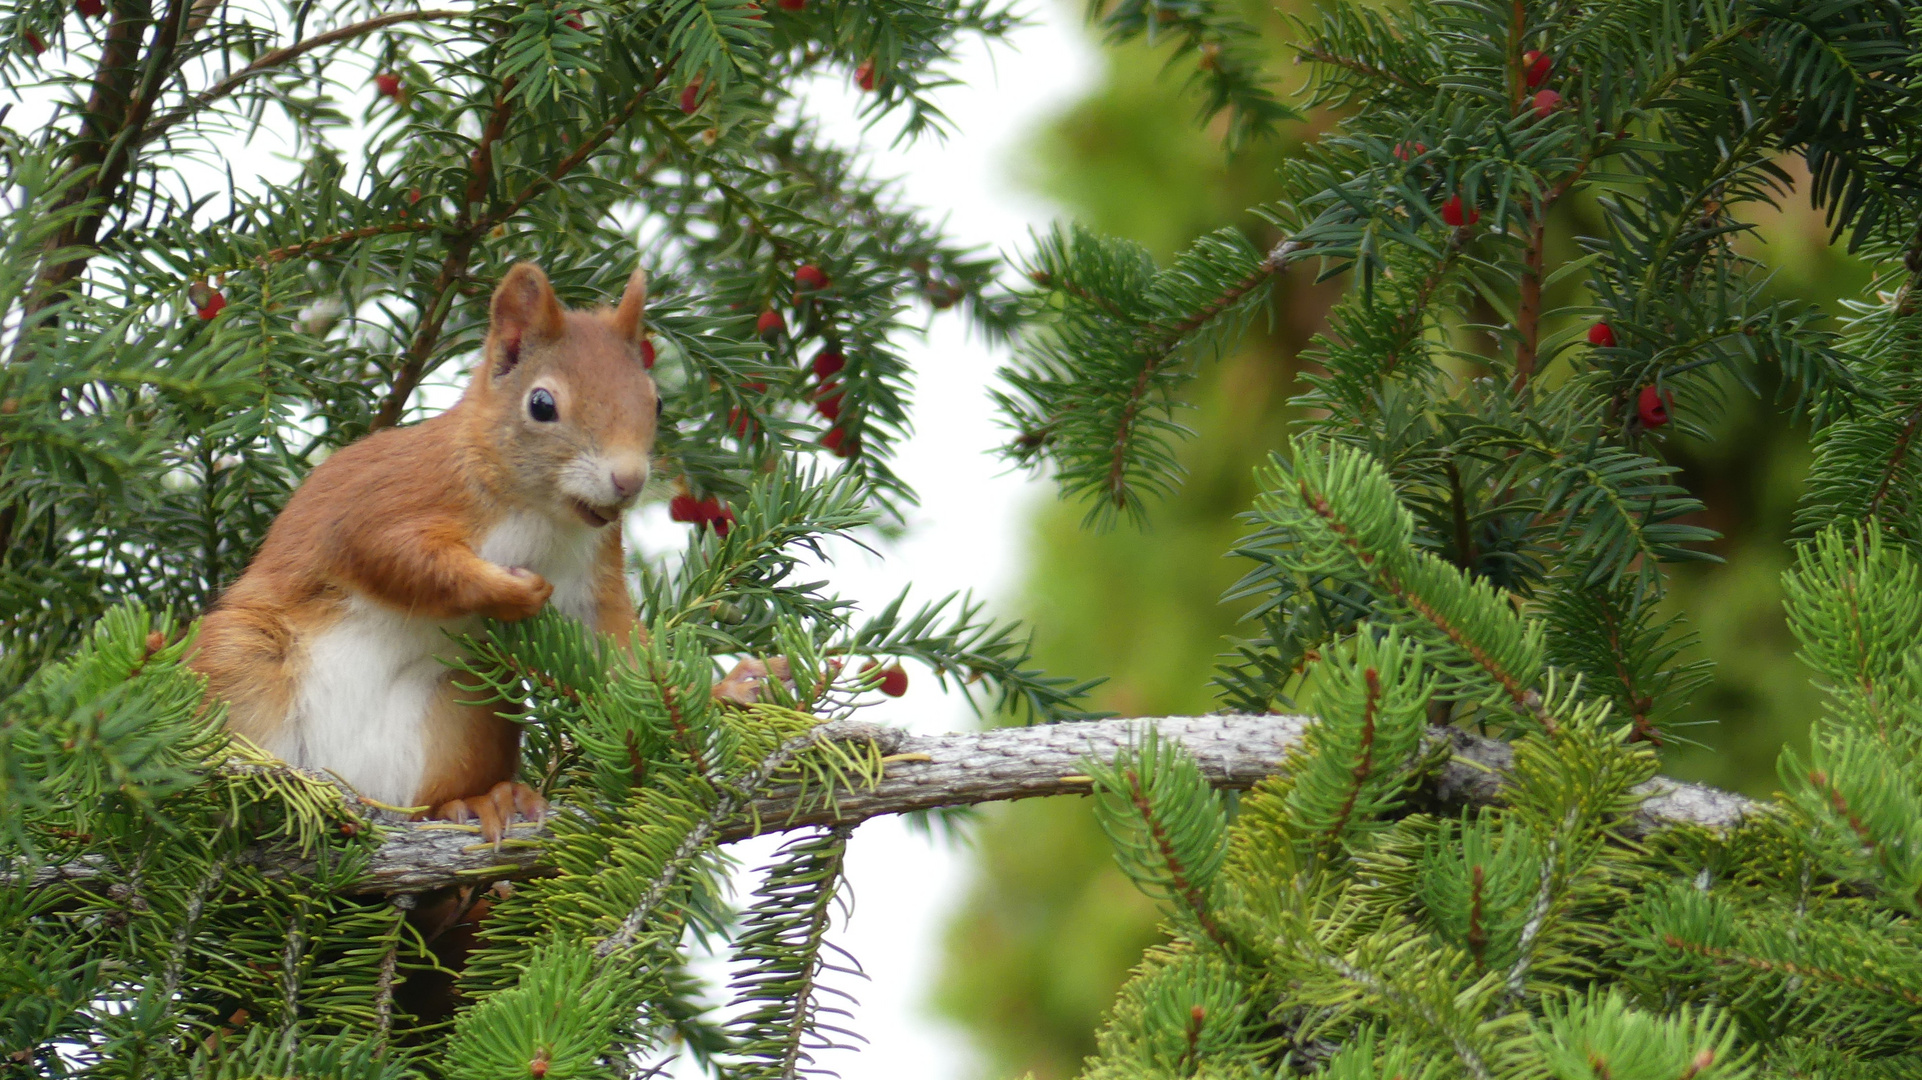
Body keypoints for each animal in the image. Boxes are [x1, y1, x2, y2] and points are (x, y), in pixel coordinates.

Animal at [187, 263, 741, 841]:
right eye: (541, 404)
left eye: (656, 401)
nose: (629, 480)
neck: (537, 513)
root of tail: (344, 784)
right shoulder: (387, 504)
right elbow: (399, 558)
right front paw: (513, 590)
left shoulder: (594, 573)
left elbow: (622, 659)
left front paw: (729, 692)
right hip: (242, 664)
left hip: (468, 701)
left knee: (431, 800)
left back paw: (481, 804)